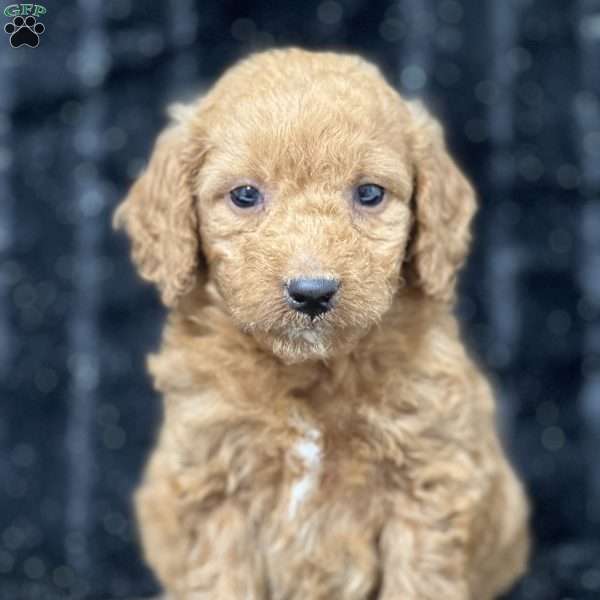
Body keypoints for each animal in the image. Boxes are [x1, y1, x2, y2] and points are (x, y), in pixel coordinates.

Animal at [113, 49, 528, 596]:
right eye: (245, 195)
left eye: (369, 193)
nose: (312, 292)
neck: (308, 370)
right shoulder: (215, 486)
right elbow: (221, 579)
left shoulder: (427, 482)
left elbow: (418, 579)